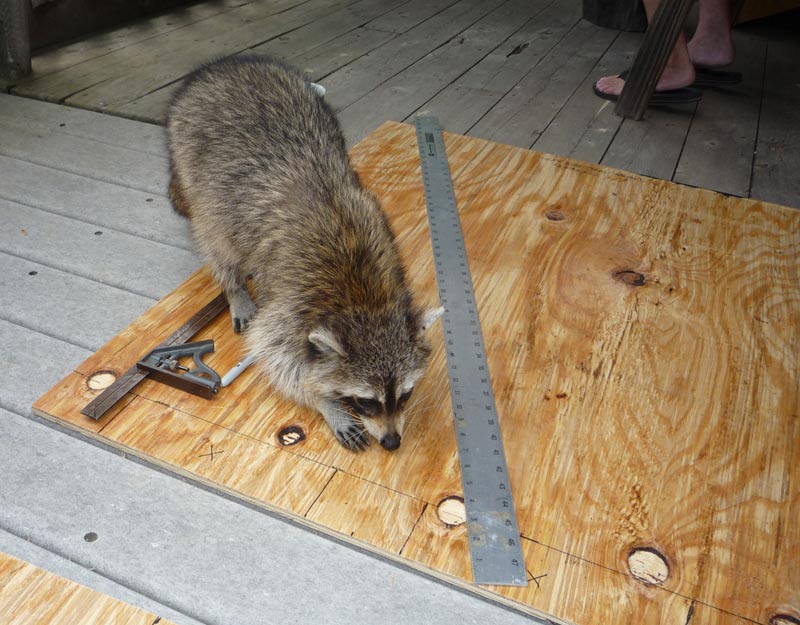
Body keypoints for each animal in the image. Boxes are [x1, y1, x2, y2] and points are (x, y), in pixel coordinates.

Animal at [165, 56, 442, 451]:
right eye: (367, 402)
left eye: (404, 395)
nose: (391, 442)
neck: (364, 300)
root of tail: (224, 65)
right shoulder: (292, 307)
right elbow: (274, 355)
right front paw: (326, 403)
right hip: (194, 166)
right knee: (216, 238)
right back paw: (234, 285)